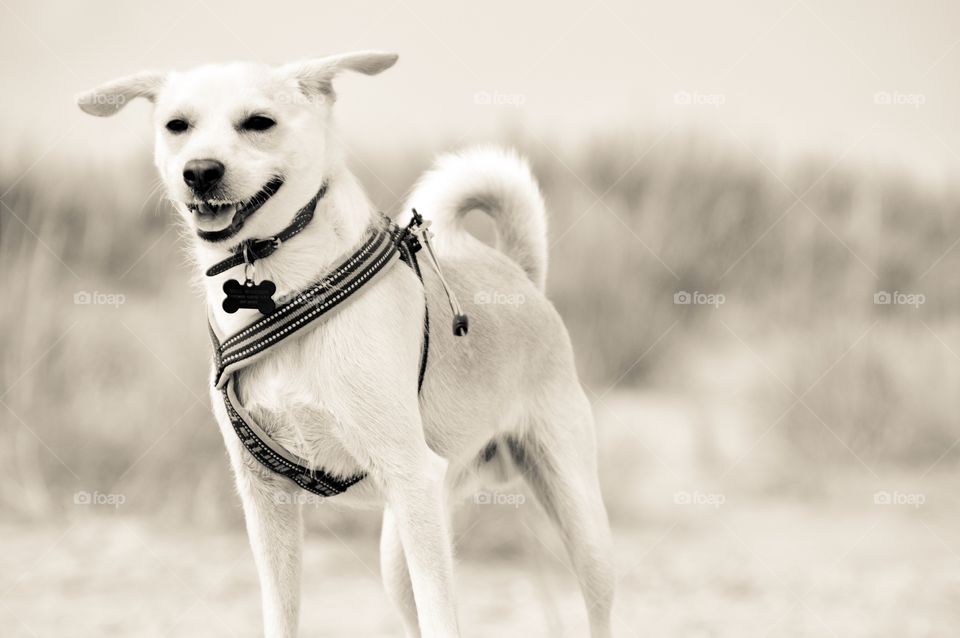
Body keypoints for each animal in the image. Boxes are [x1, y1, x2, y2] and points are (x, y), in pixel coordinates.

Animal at [75, 51, 616, 638]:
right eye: (178, 125)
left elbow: (442, 615)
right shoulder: (265, 499)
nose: (198, 172)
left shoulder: (410, 476)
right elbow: (280, 615)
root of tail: (520, 275)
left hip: (575, 519)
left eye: (258, 122)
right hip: (399, 552)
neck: (283, 288)